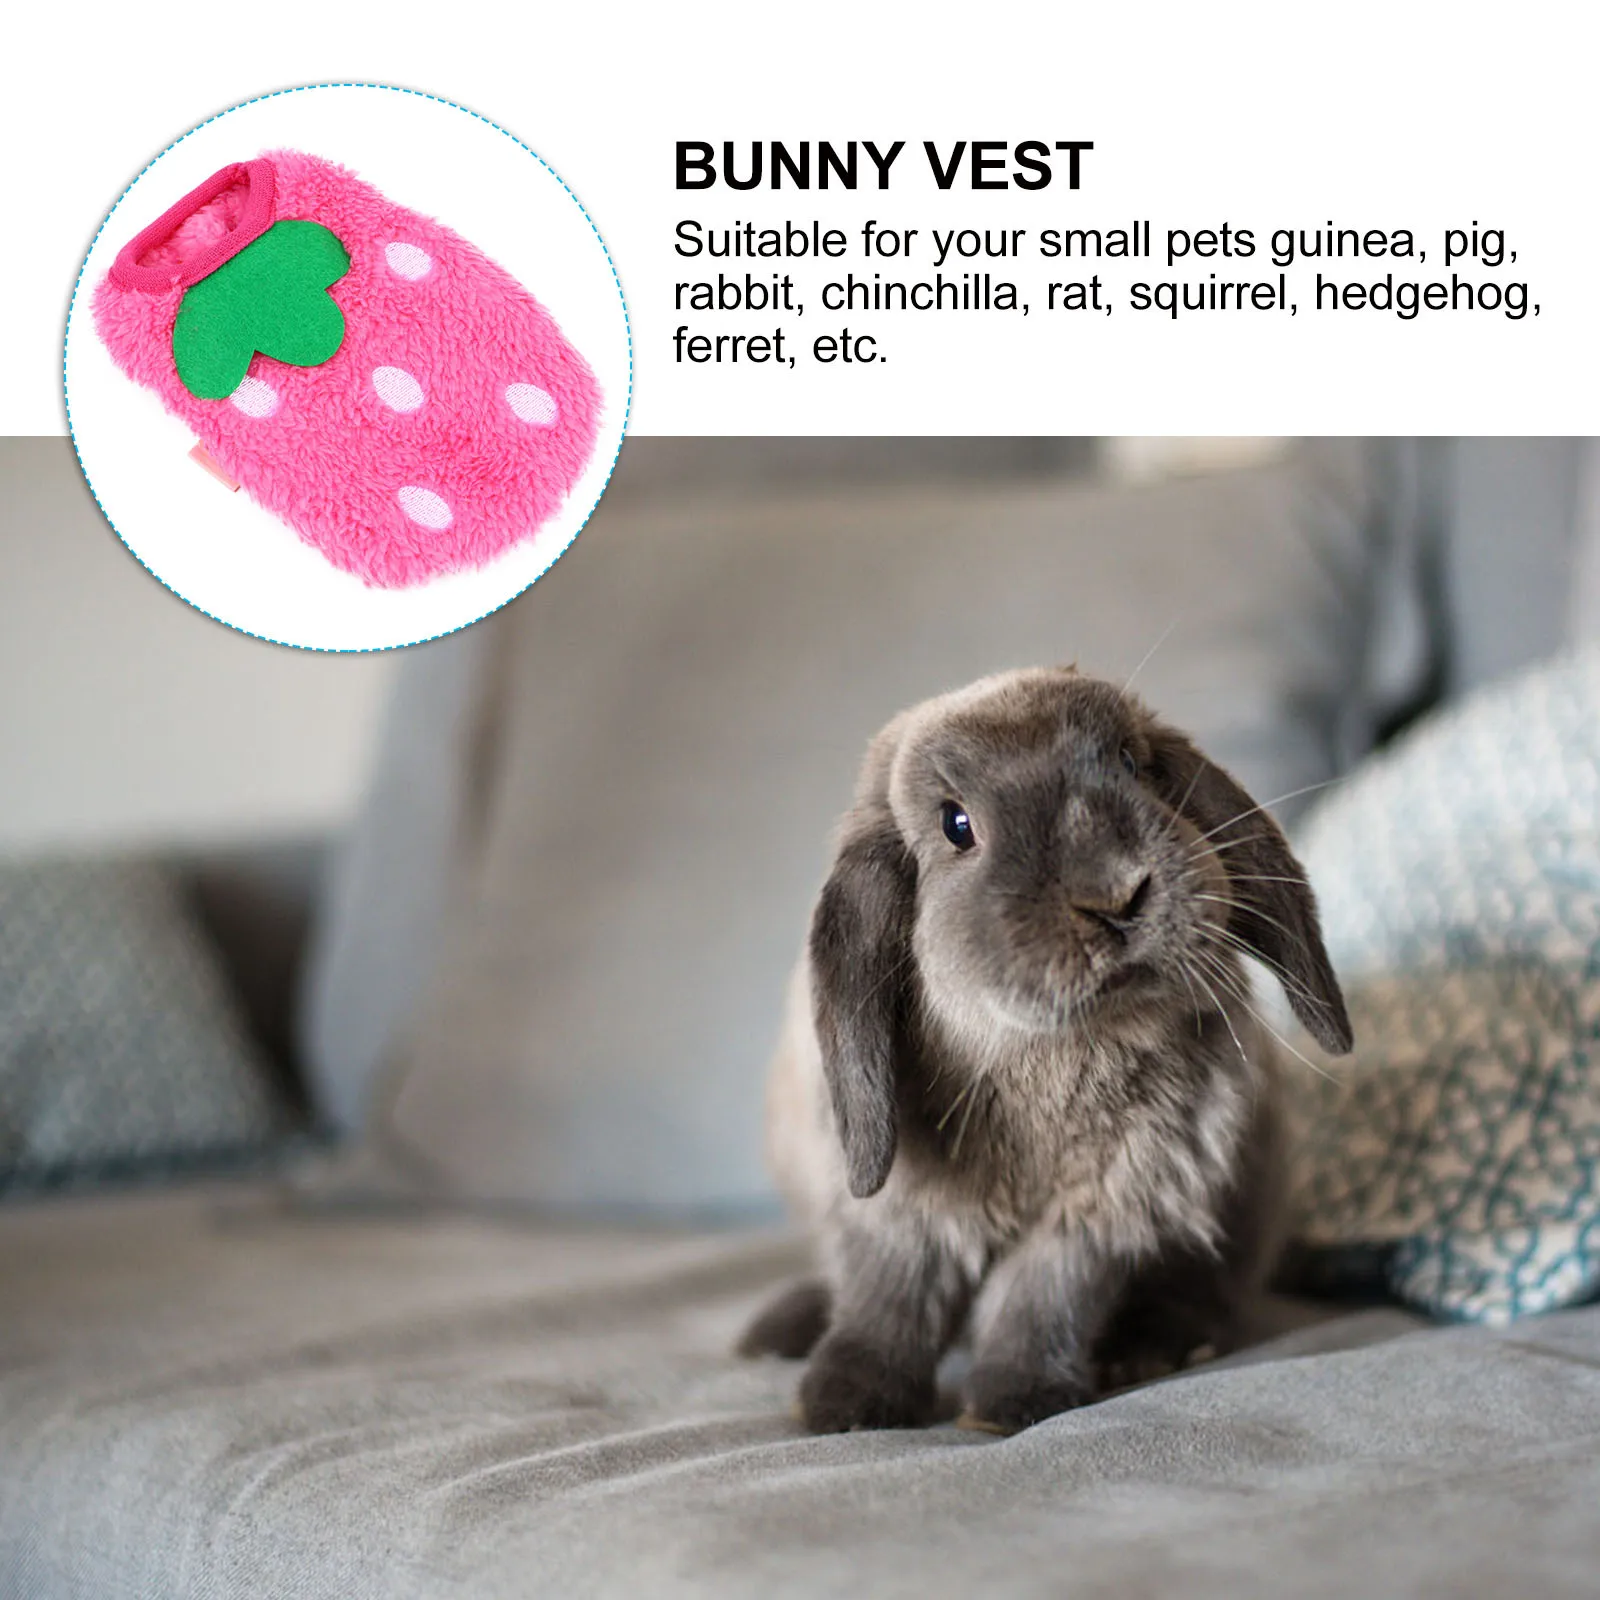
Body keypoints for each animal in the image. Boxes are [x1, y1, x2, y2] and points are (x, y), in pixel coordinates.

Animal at [737, 665, 1352, 1435]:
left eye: (1131, 763)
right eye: (956, 825)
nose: (1116, 895)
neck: (1050, 1054)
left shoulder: (1102, 1210)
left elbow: (1042, 1299)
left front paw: (1014, 1404)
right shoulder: (899, 1210)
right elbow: (890, 1295)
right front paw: (843, 1405)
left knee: (1207, 1292)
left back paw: (1153, 1348)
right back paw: (780, 1331)